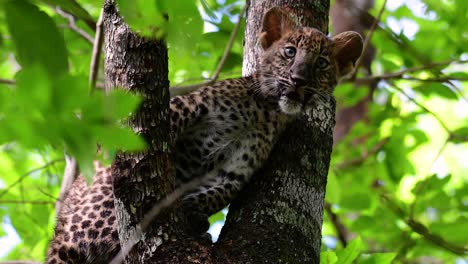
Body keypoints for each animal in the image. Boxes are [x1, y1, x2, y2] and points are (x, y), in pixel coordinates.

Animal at [45, 6, 364, 264]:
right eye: (290, 52)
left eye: (322, 63)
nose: (299, 79)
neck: (265, 110)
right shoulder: (187, 106)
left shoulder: (236, 168)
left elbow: (216, 195)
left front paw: (193, 213)